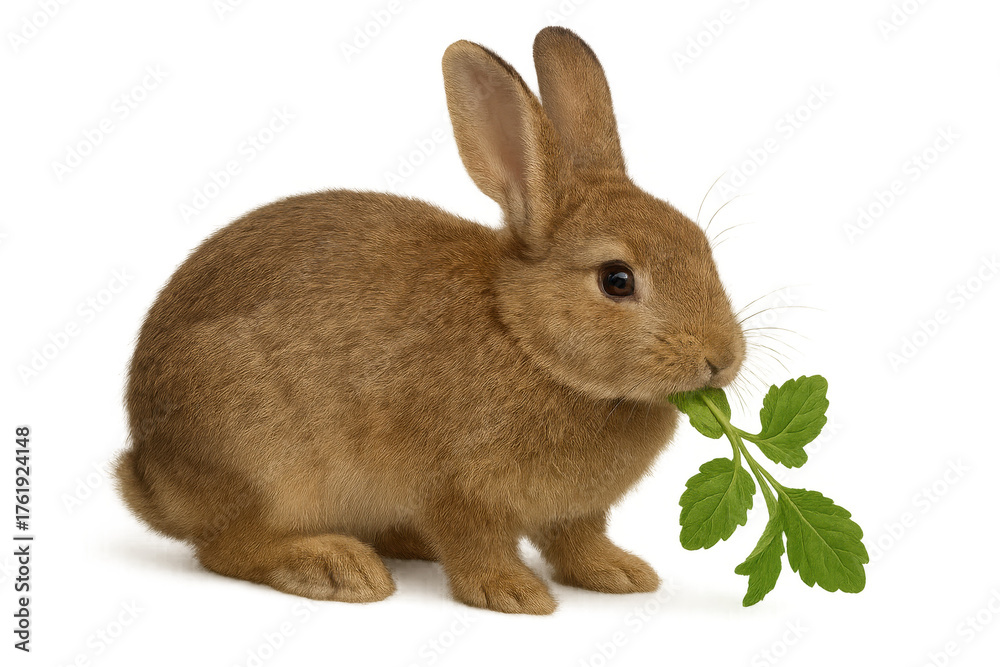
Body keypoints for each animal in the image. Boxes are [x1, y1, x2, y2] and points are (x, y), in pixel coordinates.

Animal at [115, 26, 745, 615]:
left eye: (701, 245)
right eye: (617, 280)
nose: (722, 358)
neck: (524, 337)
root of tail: (149, 474)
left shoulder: (575, 513)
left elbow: (577, 540)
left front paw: (621, 573)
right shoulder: (457, 490)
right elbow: (475, 544)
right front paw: (514, 593)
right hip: (263, 462)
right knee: (228, 545)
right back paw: (337, 568)